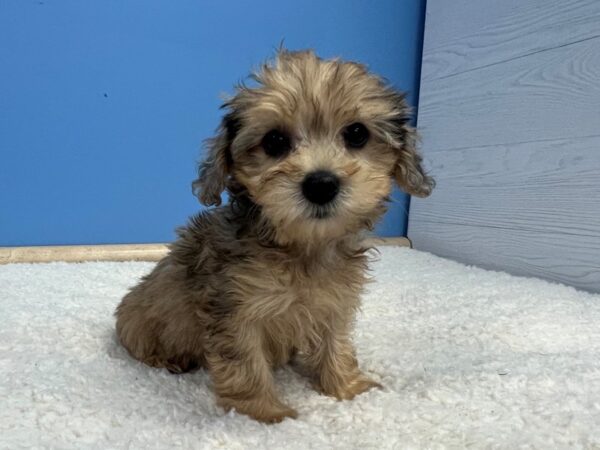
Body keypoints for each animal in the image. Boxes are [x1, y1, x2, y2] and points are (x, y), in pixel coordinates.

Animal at [116, 49, 436, 422]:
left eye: (357, 134)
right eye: (274, 141)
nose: (321, 184)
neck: (301, 248)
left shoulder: (335, 303)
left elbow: (336, 344)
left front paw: (347, 386)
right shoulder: (235, 311)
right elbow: (246, 364)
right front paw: (266, 413)